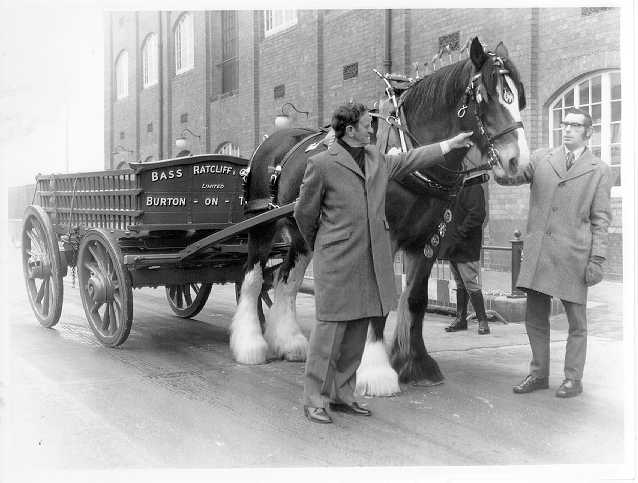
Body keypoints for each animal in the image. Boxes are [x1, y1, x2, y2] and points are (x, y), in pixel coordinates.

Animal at [229, 38, 528, 398]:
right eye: (485, 97)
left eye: (519, 97)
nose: (518, 163)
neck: (408, 152)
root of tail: (268, 143)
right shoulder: (382, 237)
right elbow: (381, 298)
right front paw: (375, 371)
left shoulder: (429, 238)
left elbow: (414, 299)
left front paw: (415, 363)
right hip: (262, 226)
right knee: (253, 277)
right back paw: (250, 345)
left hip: (302, 233)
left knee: (287, 279)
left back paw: (290, 343)